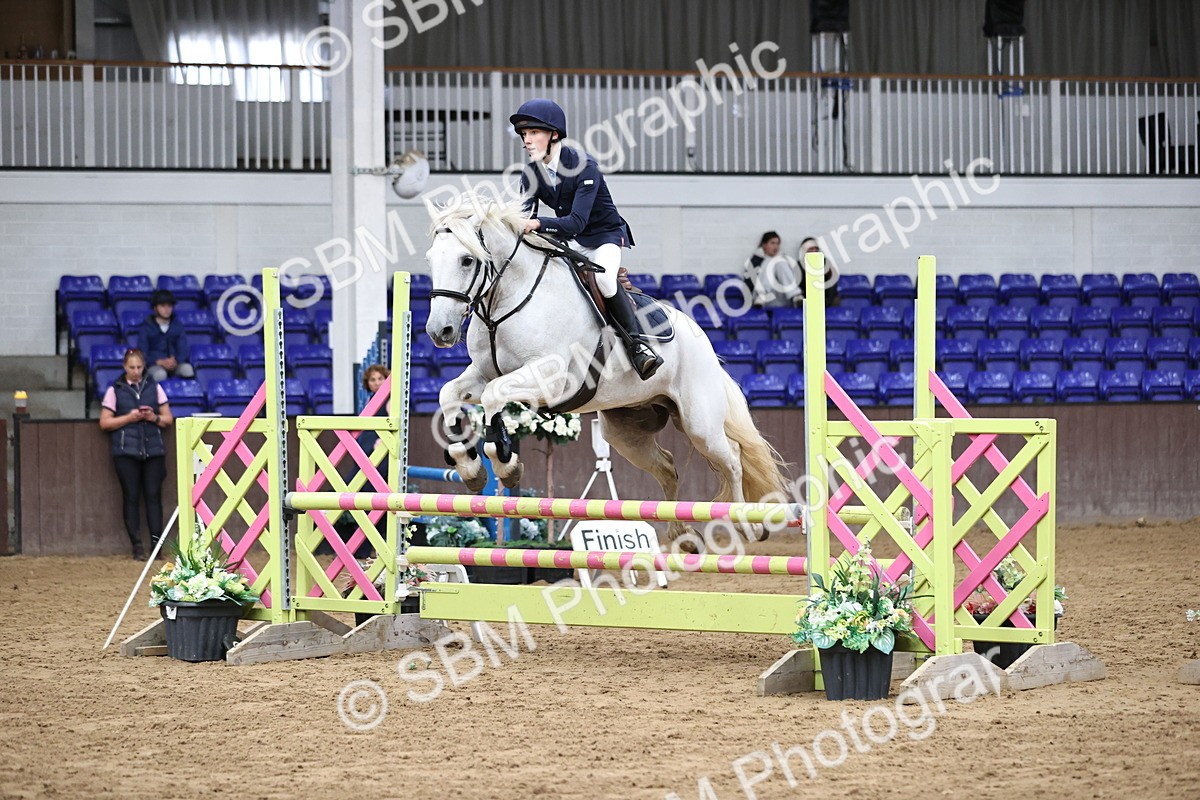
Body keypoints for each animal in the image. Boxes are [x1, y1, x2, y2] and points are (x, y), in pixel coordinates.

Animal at [423, 195, 790, 545]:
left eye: (466, 260)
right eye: (430, 260)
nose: (439, 331)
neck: (508, 302)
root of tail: (704, 342)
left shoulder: (551, 377)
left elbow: (492, 396)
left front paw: (505, 463)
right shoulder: (484, 373)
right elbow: (450, 394)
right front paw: (469, 467)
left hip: (700, 424)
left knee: (733, 458)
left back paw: (747, 526)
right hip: (625, 432)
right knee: (667, 467)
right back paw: (681, 536)